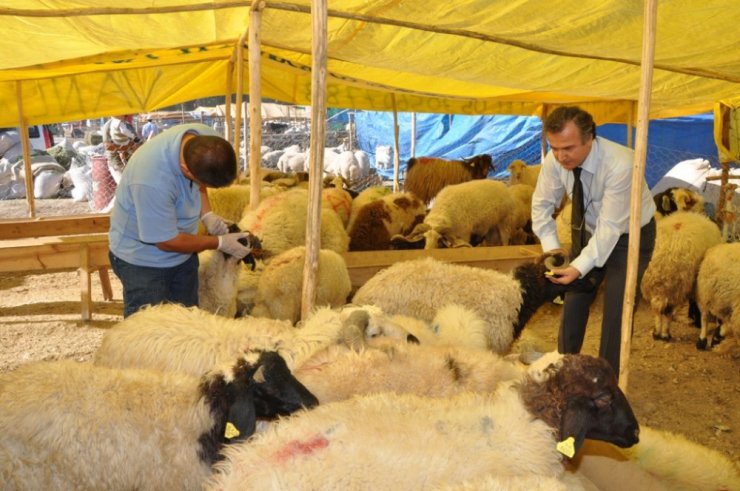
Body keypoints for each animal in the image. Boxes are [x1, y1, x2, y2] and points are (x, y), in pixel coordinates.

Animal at [640, 211, 720, 342]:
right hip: (675, 285)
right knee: (668, 311)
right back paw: (665, 334)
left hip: (657, 284)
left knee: (657, 309)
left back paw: (657, 333)